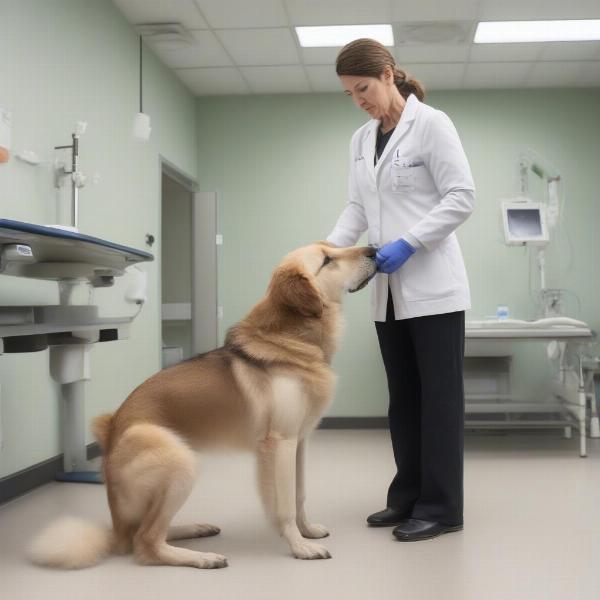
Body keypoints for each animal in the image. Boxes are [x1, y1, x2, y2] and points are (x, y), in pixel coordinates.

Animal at [29, 243, 376, 568]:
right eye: (327, 260)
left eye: (333, 247)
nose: (374, 249)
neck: (292, 340)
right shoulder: (280, 444)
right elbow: (285, 505)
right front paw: (299, 546)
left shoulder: (299, 443)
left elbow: (300, 495)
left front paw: (307, 531)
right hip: (181, 461)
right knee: (146, 542)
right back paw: (203, 558)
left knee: (147, 532)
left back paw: (194, 529)